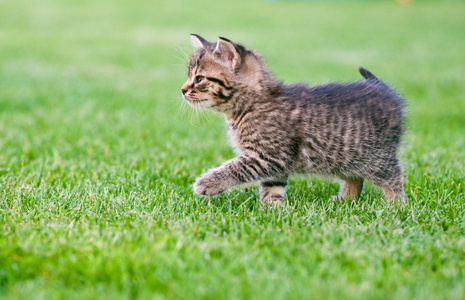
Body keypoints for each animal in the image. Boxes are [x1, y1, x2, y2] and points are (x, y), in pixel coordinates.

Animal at [182, 34, 406, 207]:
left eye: (199, 78)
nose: (183, 90)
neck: (251, 106)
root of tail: (385, 90)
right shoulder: (273, 163)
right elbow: (272, 187)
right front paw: (271, 210)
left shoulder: (269, 155)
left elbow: (238, 168)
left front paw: (208, 183)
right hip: (345, 156)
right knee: (355, 178)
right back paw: (345, 201)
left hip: (377, 158)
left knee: (394, 178)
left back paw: (396, 205)